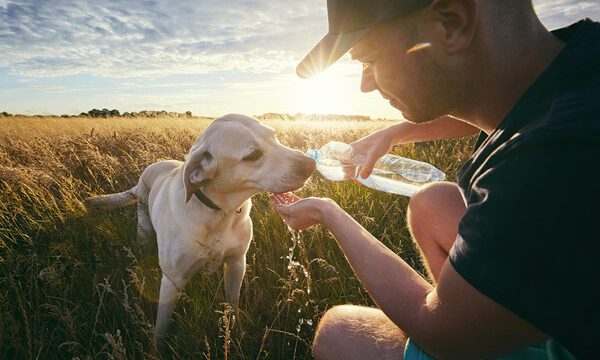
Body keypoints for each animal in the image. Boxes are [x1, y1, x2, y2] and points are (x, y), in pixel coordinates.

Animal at [87, 114, 318, 340]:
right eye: (252, 155)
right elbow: (161, 326)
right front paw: (157, 347)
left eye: (274, 136)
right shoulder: (172, 280)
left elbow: (232, 305)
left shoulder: (236, 263)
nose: (310, 164)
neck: (220, 213)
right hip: (143, 229)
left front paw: (234, 334)